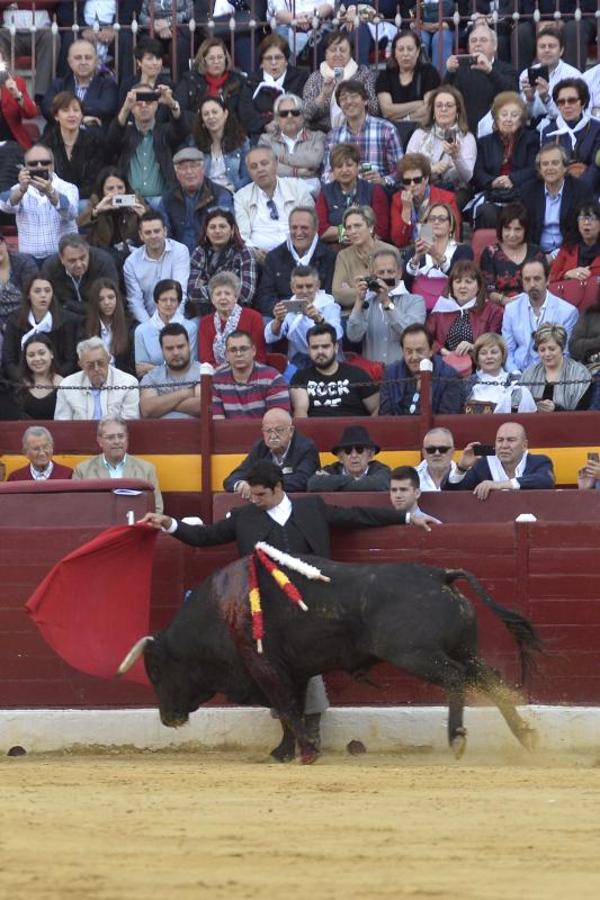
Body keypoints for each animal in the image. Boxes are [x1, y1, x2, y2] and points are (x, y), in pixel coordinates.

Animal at [117, 560, 544, 764]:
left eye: (155, 670)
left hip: (417, 655)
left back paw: (456, 737)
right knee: (489, 679)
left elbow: (286, 707)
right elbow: (290, 709)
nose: (166, 718)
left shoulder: (265, 668)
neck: (220, 611)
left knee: (457, 678)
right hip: (463, 649)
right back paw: (525, 734)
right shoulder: (291, 671)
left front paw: (306, 751)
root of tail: (440, 575)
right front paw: (285, 752)